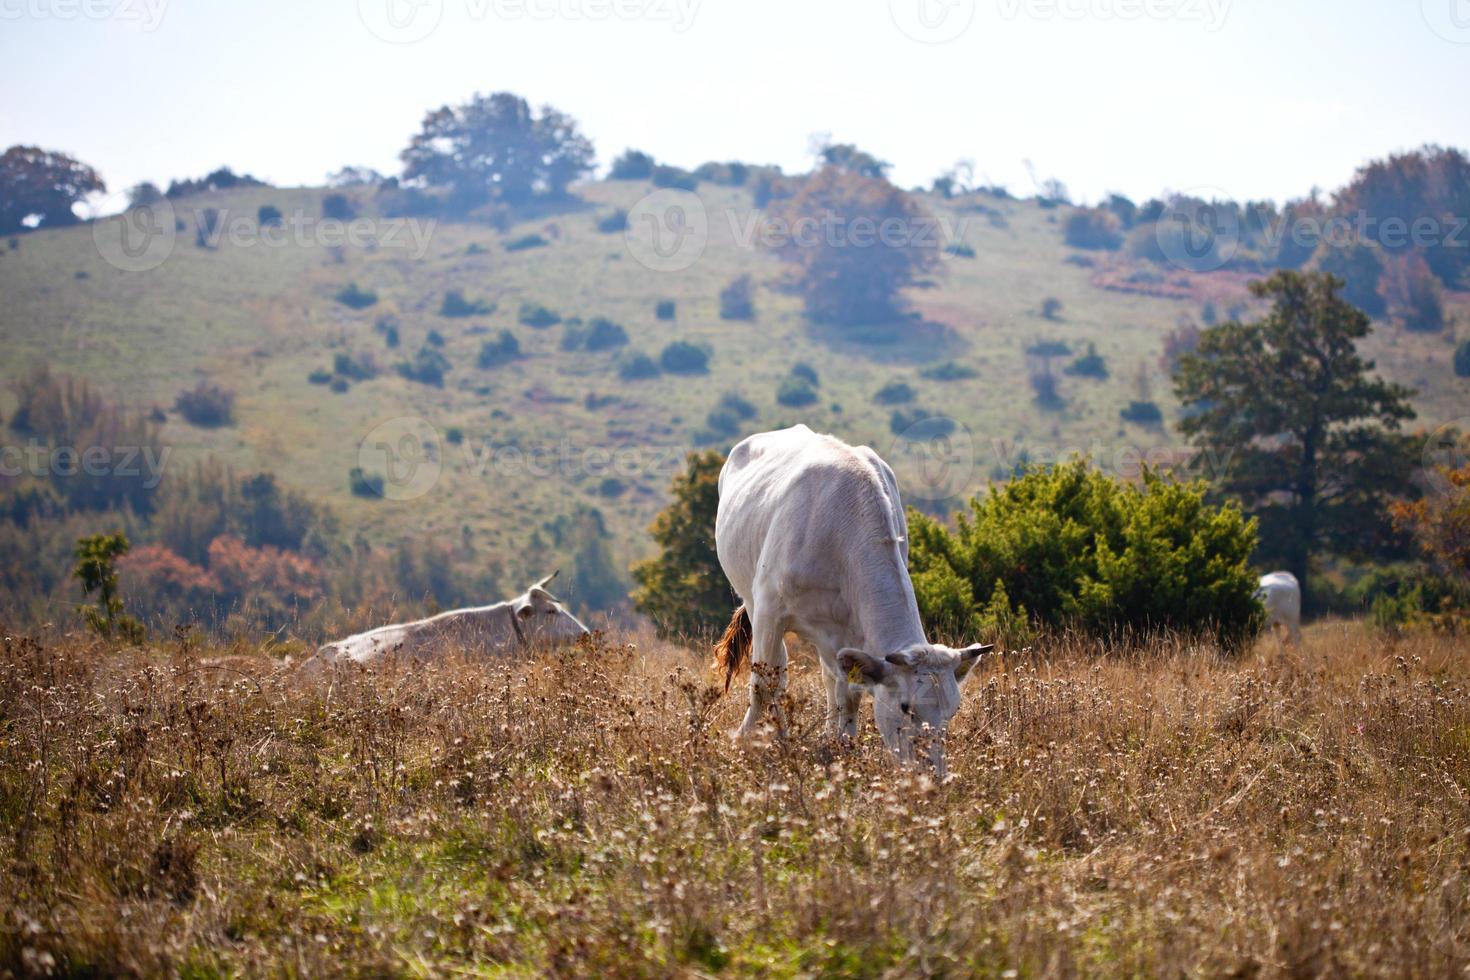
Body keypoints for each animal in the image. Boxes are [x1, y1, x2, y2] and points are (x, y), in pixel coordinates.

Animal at [708, 426, 993, 775]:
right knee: (778, 671)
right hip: (751, 598)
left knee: (830, 680)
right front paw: (759, 742)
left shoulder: (849, 634)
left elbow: (848, 695)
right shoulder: (769, 612)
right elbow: (765, 684)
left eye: (952, 711)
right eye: (906, 707)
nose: (933, 776)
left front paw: (842, 747)